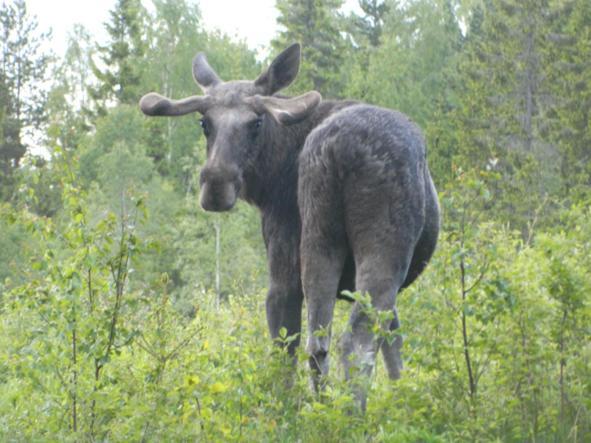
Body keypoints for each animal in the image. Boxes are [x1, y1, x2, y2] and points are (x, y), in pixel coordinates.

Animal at [140, 43, 440, 412]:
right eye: (204, 122)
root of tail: (336, 150)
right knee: (355, 341)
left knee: (311, 342)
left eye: (256, 122)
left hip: (317, 239)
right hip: (383, 246)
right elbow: (393, 349)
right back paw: (353, 415)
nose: (216, 184)